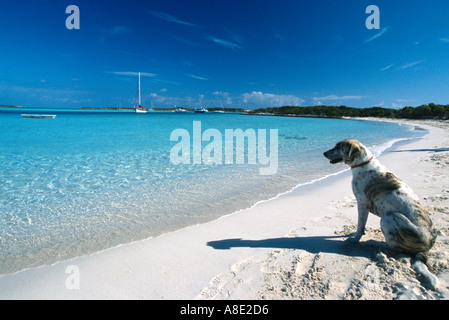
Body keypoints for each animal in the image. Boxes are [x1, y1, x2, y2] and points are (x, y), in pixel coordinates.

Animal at [322, 139, 438, 288]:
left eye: (339, 147)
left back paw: (374, 243)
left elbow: (360, 224)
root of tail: (427, 247)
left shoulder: (362, 203)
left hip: (389, 218)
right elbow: (360, 226)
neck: (363, 163)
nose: (324, 153)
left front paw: (355, 239)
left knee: (392, 246)